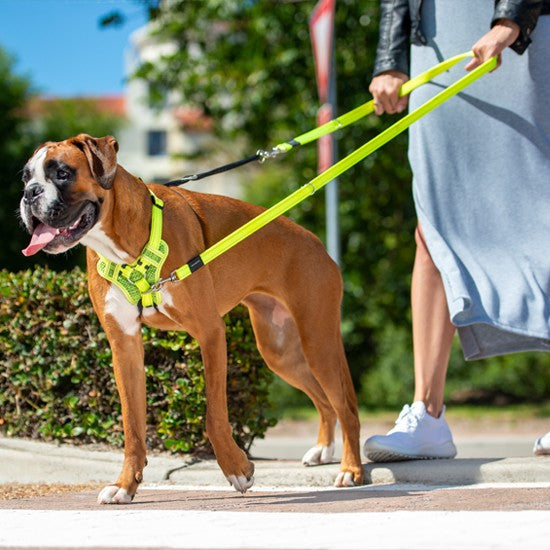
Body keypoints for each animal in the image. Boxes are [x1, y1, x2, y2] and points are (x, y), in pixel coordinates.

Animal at [20, 134, 366, 504]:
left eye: (62, 173)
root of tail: (316, 242)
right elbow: (132, 426)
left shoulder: (211, 333)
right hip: (281, 353)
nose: (30, 194)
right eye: (25, 178)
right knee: (324, 400)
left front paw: (237, 470)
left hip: (317, 342)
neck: (125, 246)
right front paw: (126, 485)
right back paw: (323, 450)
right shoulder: (125, 347)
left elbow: (214, 416)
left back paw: (351, 469)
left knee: (346, 406)